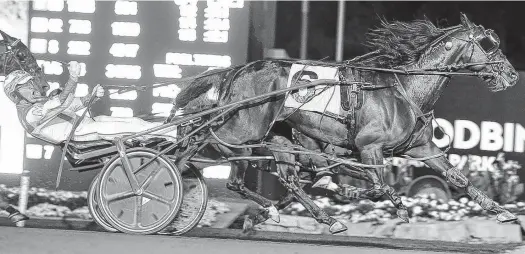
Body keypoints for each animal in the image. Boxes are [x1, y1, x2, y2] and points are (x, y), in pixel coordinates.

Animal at [174, 13, 516, 232]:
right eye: (488, 44)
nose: (512, 74)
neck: (405, 89)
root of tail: (240, 69)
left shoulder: (420, 148)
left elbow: (458, 179)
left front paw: (502, 212)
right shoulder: (368, 146)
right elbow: (377, 187)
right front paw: (372, 198)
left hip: (276, 137)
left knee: (281, 180)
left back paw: (320, 217)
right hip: (244, 128)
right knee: (203, 140)